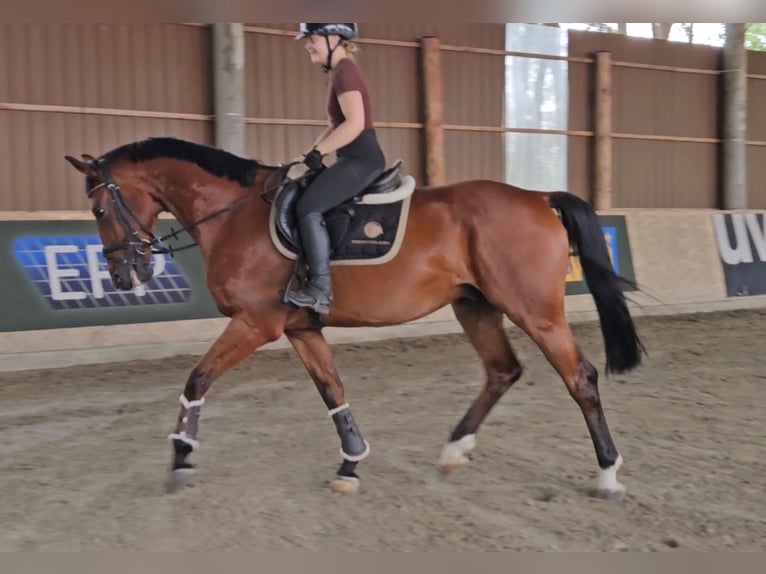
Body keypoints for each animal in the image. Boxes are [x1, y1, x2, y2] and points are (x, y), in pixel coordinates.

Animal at [66, 135, 644, 500]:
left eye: (99, 210)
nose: (123, 277)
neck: (234, 214)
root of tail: (538, 197)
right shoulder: (300, 328)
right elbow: (333, 392)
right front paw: (351, 464)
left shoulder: (254, 324)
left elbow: (197, 378)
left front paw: (182, 456)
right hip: (475, 306)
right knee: (503, 371)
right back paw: (454, 449)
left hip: (534, 311)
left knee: (580, 377)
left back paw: (608, 475)